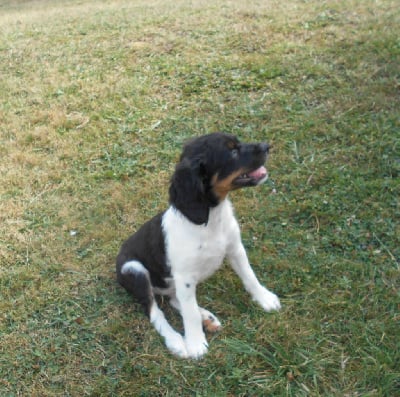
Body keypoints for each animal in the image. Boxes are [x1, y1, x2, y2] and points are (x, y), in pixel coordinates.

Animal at [115, 131, 280, 358]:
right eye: (232, 151)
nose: (267, 146)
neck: (212, 219)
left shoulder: (235, 249)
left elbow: (249, 276)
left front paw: (265, 298)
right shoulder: (185, 276)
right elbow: (189, 313)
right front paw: (195, 344)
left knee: (175, 300)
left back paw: (207, 318)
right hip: (134, 270)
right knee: (155, 311)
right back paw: (177, 341)